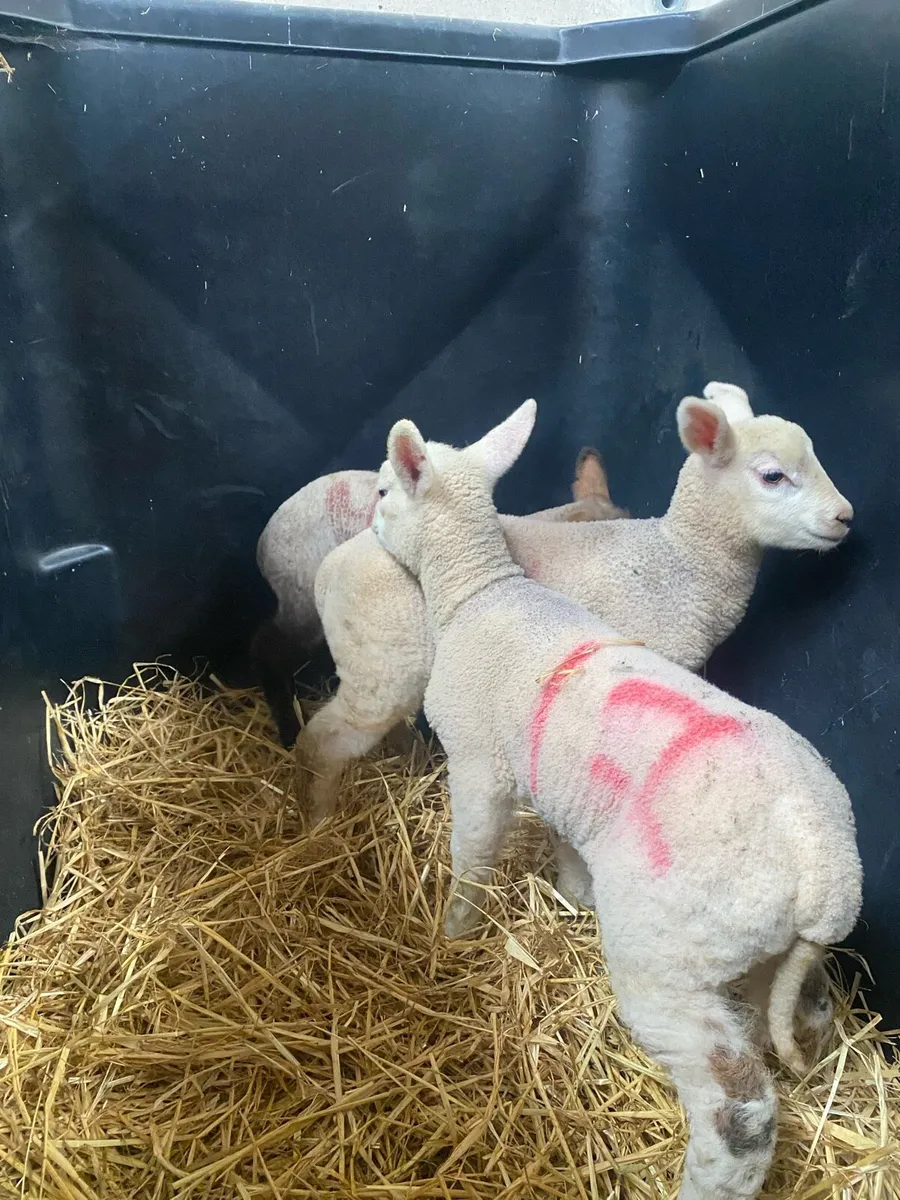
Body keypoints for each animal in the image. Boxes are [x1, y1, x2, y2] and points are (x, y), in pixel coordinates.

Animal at [371, 399, 862, 1200]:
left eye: (384, 490)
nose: (365, 520)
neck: (482, 590)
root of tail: (830, 871)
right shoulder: (558, 789)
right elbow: (565, 846)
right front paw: (572, 895)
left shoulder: (477, 766)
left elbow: (471, 858)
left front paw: (451, 933)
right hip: (769, 949)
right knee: (808, 1010)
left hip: (668, 956)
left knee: (740, 1109)